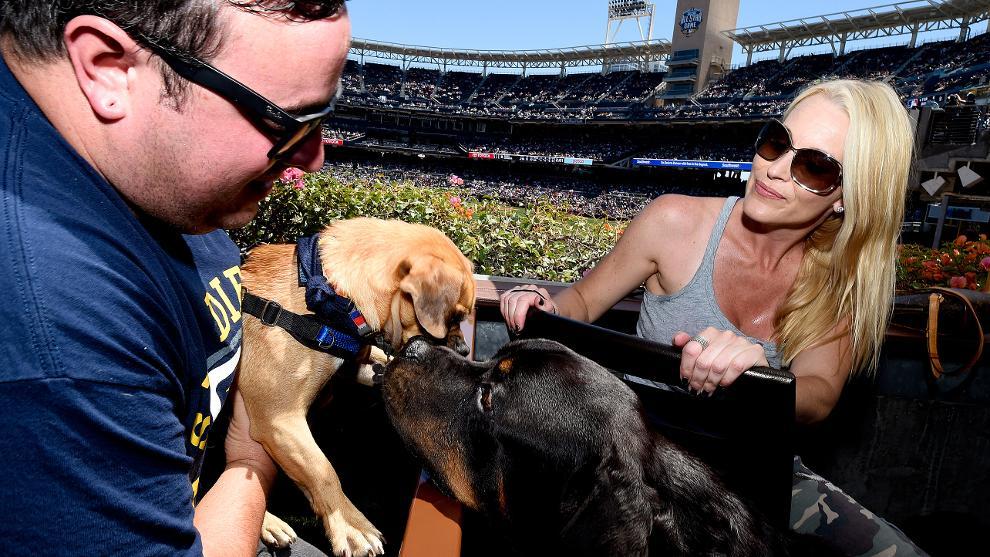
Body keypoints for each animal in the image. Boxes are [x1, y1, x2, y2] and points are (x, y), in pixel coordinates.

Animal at [238, 217, 474, 556]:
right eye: (453, 317)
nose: (465, 350)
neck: (327, 293)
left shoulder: (354, 362)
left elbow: (381, 361)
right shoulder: (279, 419)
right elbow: (322, 470)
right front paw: (352, 528)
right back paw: (270, 523)